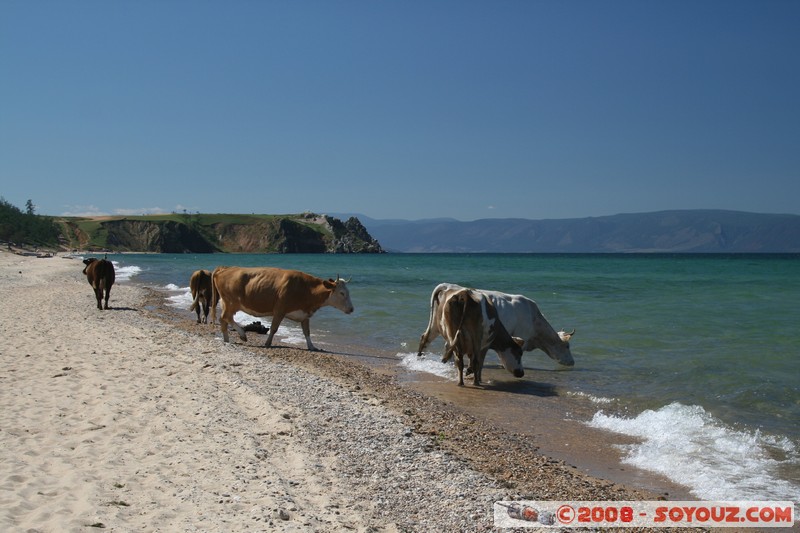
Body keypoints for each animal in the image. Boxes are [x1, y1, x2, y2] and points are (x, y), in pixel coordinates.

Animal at [209, 264, 354, 350]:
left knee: (223, 319)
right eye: (342, 293)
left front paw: (312, 346)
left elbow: (307, 332)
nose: (352, 309)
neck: (306, 289)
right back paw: (242, 334)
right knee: (226, 317)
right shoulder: (280, 310)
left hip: (226, 302)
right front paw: (268, 343)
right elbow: (273, 328)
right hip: (231, 302)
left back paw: (227, 339)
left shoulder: (304, 314)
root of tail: (226, 268)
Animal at [418, 282, 576, 370]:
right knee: (446, 344)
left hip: (436, 325)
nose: (573, 362)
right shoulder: (522, 337)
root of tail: (448, 286)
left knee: (426, 339)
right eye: (567, 346)